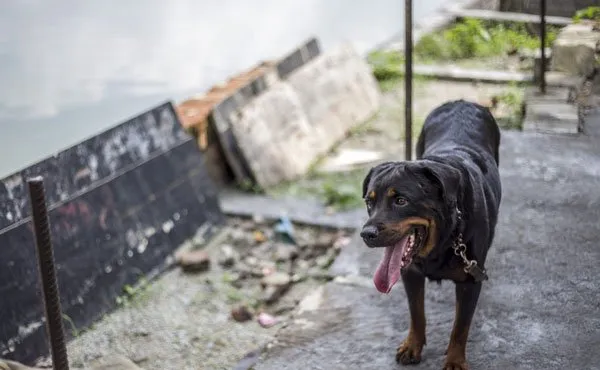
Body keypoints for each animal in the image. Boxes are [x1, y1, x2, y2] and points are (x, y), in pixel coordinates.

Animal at [360, 99, 502, 368]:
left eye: (401, 201)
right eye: (369, 202)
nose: (367, 233)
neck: (446, 237)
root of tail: (461, 101)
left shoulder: (470, 280)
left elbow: (460, 327)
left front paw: (455, 361)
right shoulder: (411, 273)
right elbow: (416, 312)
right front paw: (412, 346)